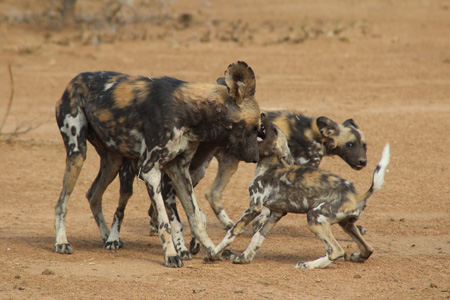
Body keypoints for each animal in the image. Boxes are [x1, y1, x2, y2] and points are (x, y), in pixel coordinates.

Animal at [53, 61, 264, 268]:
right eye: (254, 128)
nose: (255, 157)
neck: (192, 112)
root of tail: (74, 80)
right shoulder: (150, 171)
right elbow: (165, 223)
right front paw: (171, 255)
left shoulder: (179, 170)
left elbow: (195, 217)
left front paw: (213, 251)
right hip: (77, 153)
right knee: (62, 202)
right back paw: (62, 242)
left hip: (113, 161)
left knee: (93, 195)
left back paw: (108, 237)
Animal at [206, 127, 388, 270]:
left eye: (274, 130)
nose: (262, 115)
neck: (269, 167)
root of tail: (357, 195)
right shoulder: (276, 213)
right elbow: (258, 237)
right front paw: (245, 257)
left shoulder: (254, 207)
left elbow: (232, 232)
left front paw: (213, 253)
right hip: (346, 224)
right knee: (367, 249)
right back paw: (356, 256)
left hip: (314, 217)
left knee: (336, 251)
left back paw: (307, 265)